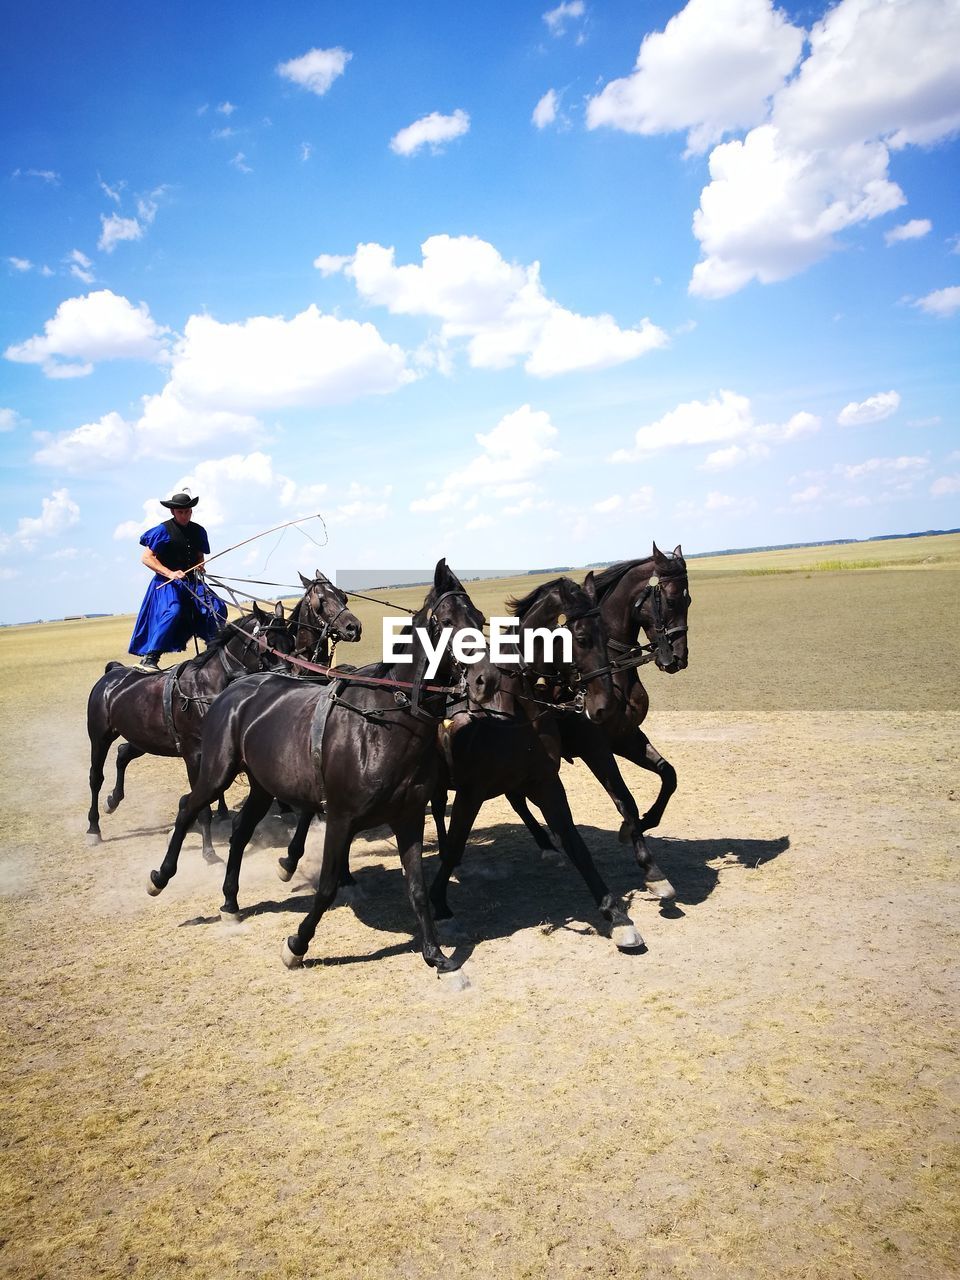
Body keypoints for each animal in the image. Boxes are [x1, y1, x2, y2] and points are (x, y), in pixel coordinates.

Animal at [146, 565, 499, 972]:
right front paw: (297, 944)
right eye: (446, 622)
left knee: (240, 831)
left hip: (262, 785)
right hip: (217, 772)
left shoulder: (408, 816)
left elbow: (417, 888)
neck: (384, 725)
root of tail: (235, 688)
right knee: (188, 808)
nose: (486, 680)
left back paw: (230, 901)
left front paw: (434, 953)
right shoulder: (341, 817)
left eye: (479, 619)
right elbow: (328, 885)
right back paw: (160, 876)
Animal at [427, 578, 655, 952]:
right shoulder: (471, 792)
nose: (605, 706)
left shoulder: (545, 780)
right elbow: (458, 839)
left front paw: (617, 916)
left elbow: (576, 842)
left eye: (605, 631)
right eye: (582, 638)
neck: (513, 708)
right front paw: (439, 905)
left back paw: (546, 846)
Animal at [504, 545, 691, 896]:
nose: (678, 657)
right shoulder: (596, 747)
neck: (614, 671)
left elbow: (668, 775)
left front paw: (641, 824)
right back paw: (548, 845)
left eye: (689, 601)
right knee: (515, 796)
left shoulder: (626, 736)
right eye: (672, 600)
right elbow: (625, 800)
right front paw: (651, 868)